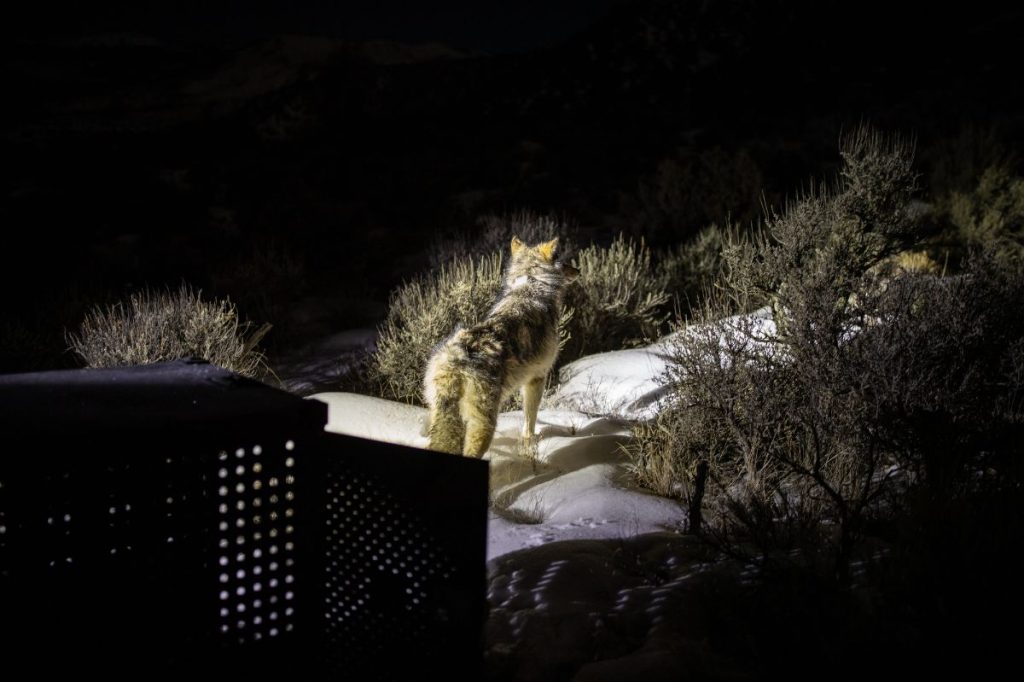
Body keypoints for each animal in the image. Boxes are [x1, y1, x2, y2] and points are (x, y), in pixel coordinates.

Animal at [424, 237, 579, 457]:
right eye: (562, 259)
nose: (578, 270)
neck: (532, 284)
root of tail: (455, 358)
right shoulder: (537, 379)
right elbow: (529, 422)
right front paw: (530, 448)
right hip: (484, 426)